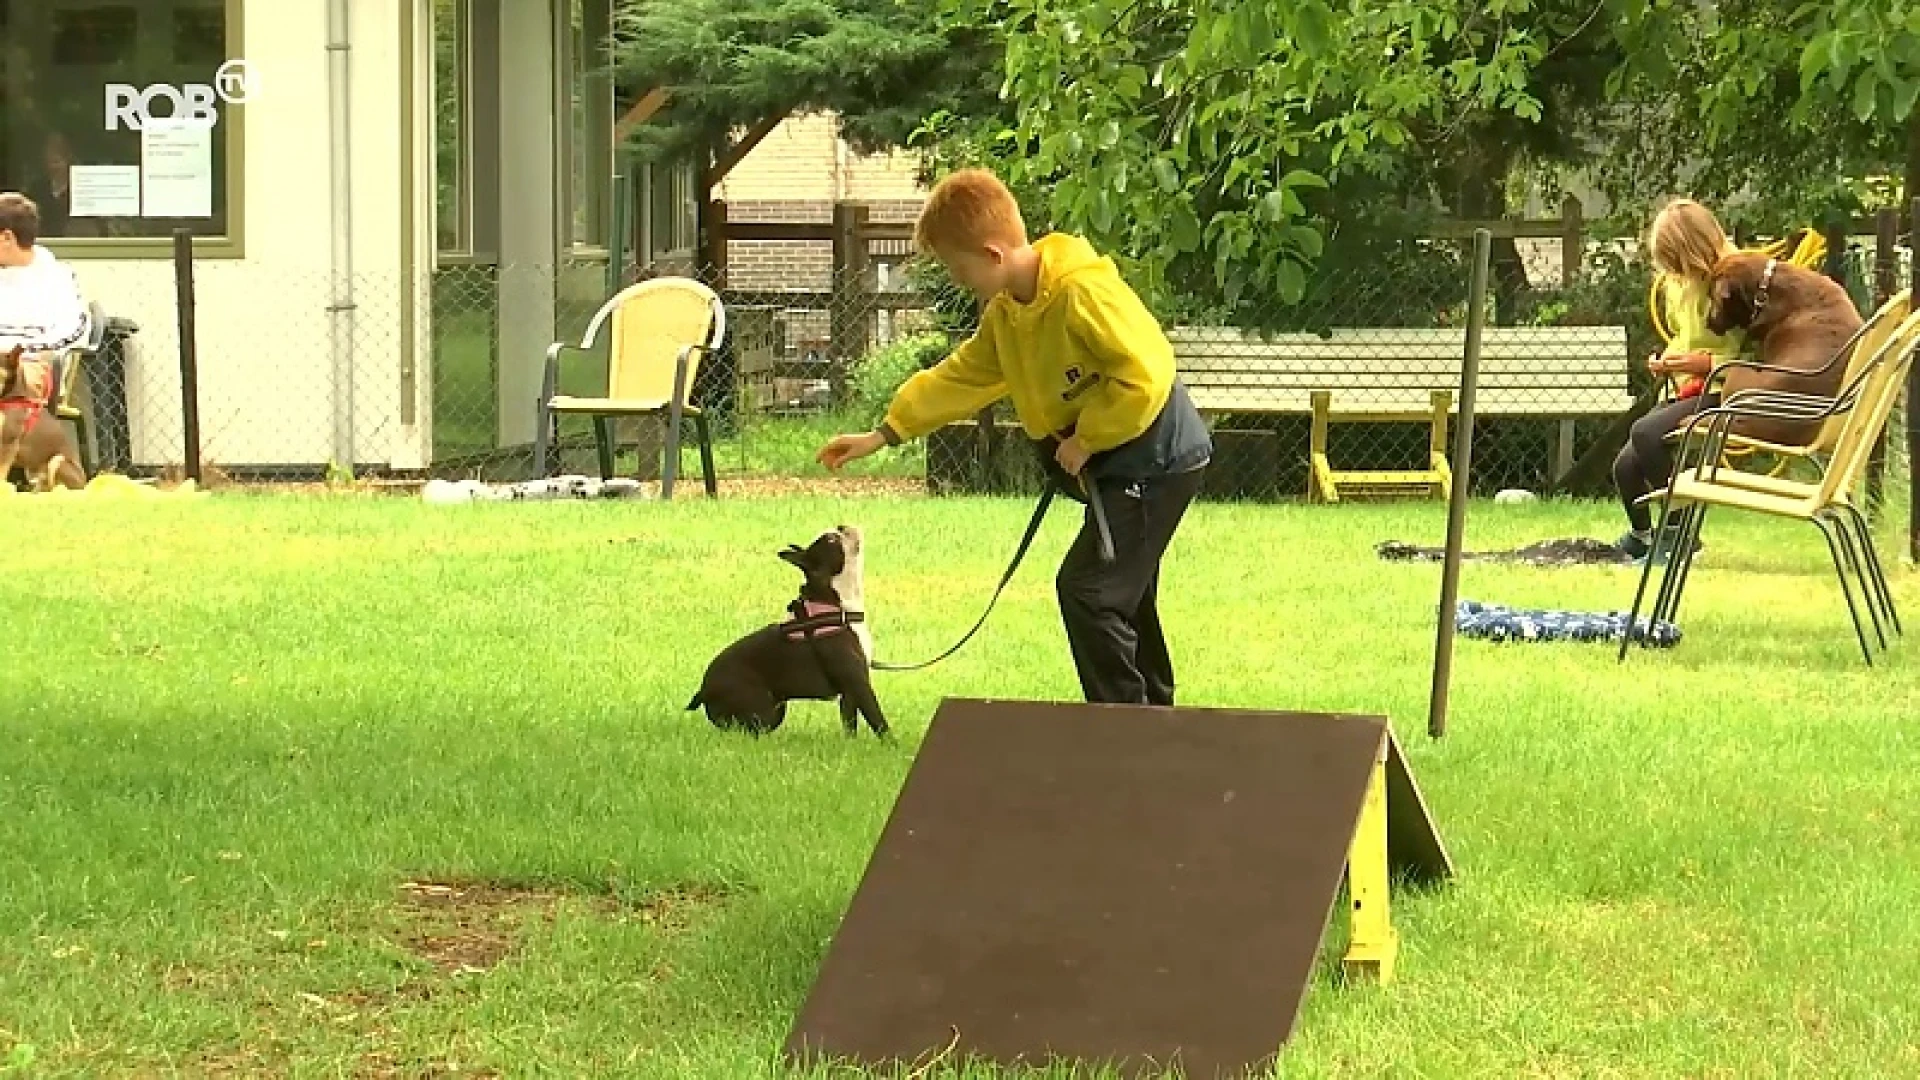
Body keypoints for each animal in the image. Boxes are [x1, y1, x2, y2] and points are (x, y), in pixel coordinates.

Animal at [683, 522, 890, 737]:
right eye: (831, 540)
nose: (841, 525)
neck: (837, 603)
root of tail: (702, 691)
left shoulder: (849, 693)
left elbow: (850, 725)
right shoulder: (859, 684)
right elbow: (879, 722)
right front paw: (891, 743)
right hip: (763, 708)